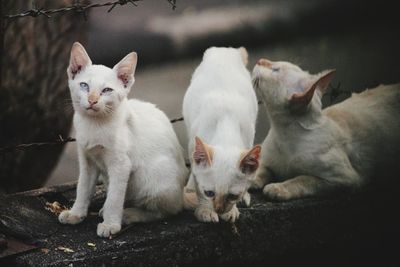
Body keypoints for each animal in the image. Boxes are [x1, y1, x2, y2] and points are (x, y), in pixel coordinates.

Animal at [183, 47, 260, 223]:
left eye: (232, 196)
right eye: (209, 193)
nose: (218, 209)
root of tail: (225, 49)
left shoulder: (248, 140)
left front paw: (232, 209)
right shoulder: (193, 148)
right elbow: (197, 180)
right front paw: (204, 210)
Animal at [252, 58, 400, 201]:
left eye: (275, 70)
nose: (260, 60)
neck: (283, 134)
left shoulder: (344, 179)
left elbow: (303, 179)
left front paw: (278, 188)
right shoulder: (266, 160)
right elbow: (261, 169)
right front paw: (252, 180)